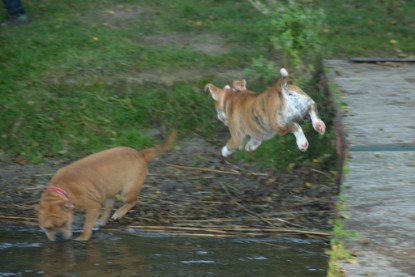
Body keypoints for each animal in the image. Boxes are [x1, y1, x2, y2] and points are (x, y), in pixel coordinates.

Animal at [37, 129, 177, 239]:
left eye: (64, 223)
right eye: (47, 228)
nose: (58, 237)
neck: (62, 190)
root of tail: (139, 154)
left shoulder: (93, 207)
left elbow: (87, 225)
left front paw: (82, 238)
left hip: (127, 191)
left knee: (133, 201)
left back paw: (118, 214)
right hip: (110, 189)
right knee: (109, 205)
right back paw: (102, 221)